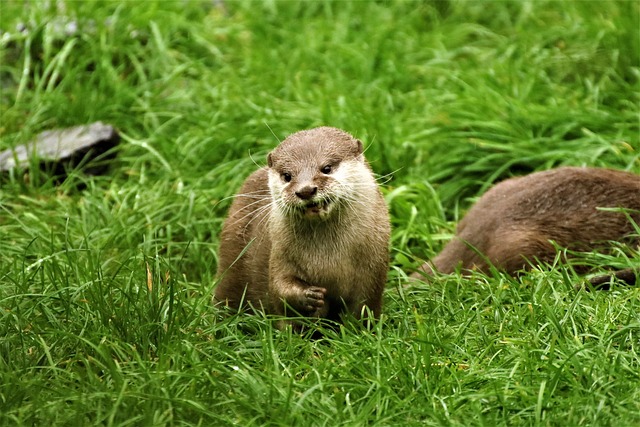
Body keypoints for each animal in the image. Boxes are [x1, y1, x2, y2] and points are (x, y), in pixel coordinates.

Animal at [214, 127, 390, 328]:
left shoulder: (372, 270)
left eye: (327, 168)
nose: (305, 190)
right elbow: (280, 287)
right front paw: (309, 296)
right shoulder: (280, 253)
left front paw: (359, 329)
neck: (327, 259)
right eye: (287, 176)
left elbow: (363, 306)